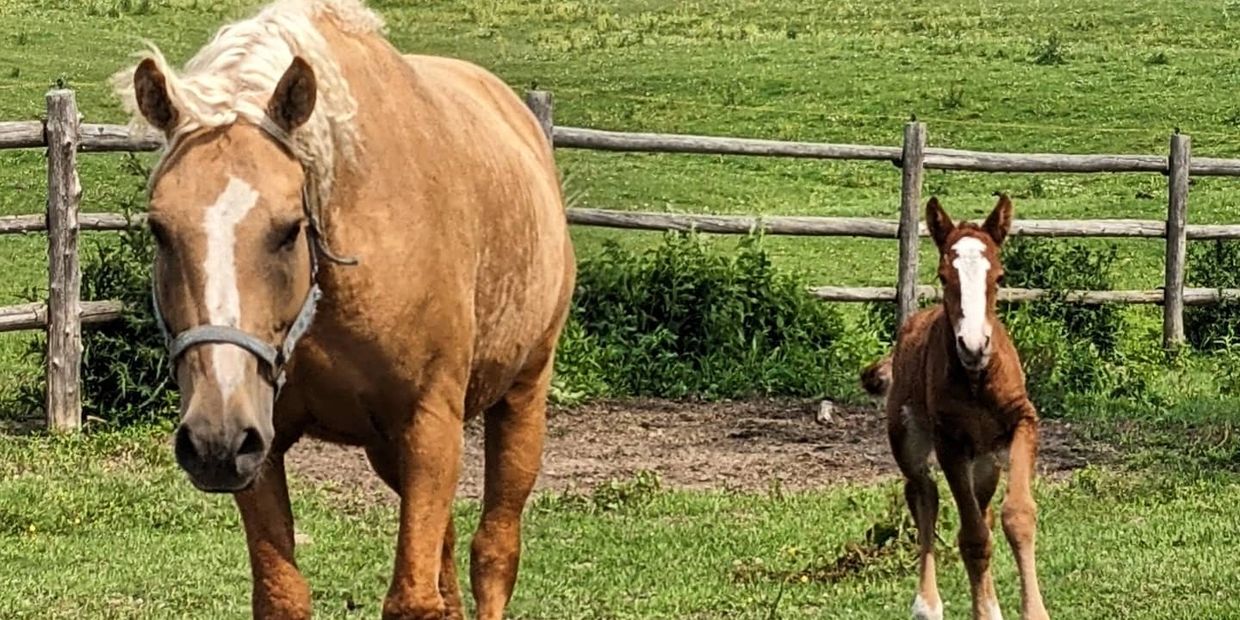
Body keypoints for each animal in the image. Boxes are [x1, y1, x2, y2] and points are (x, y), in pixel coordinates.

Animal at [112, 1, 575, 618]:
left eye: (288, 229)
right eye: (160, 230)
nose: (214, 436)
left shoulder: (429, 425)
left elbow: (414, 597)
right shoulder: (262, 444)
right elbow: (284, 593)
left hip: (521, 397)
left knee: (493, 552)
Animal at [861, 194, 1048, 620]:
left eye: (1000, 277)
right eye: (945, 277)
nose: (974, 346)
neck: (976, 379)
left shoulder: (1023, 422)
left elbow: (1017, 515)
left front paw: (1030, 611)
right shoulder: (949, 442)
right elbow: (973, 538)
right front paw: (983, 613)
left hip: (986, 461)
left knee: (983, 509)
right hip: (910, 440)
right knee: (923, 495)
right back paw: (927, 605)